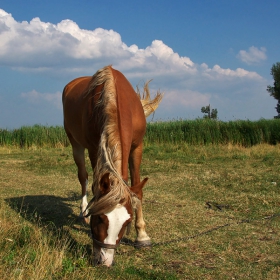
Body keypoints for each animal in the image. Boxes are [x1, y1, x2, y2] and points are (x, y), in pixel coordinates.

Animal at [61, 65, 162, 266]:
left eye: (126, 222)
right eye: (99, 218)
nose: (104, 261)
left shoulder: (137, 147)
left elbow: (137, 190)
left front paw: (142, 236)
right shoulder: (94, 149)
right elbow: (94, 184)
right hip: (75, 143)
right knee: (83, 176)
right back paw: (81, 211)